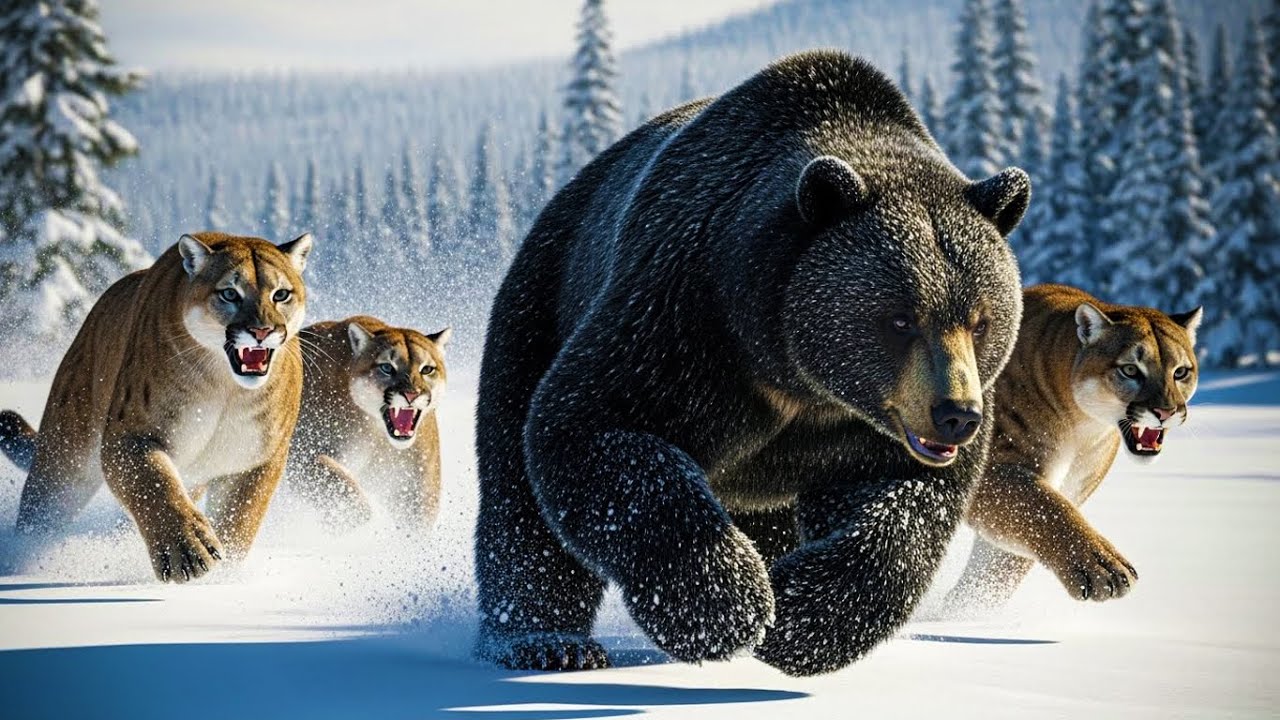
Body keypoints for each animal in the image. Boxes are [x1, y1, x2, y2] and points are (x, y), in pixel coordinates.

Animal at [474, 50, 1029, 676]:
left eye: (981, 320)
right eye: (901, 318)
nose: (956, 414)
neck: (795, 372)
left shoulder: (861, 428)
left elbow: (905, 504)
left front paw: (798, 617)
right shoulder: (684, 322)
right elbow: (587, 429)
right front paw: (727, 605)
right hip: (542, 299)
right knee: (519, 493)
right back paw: (546, 640)